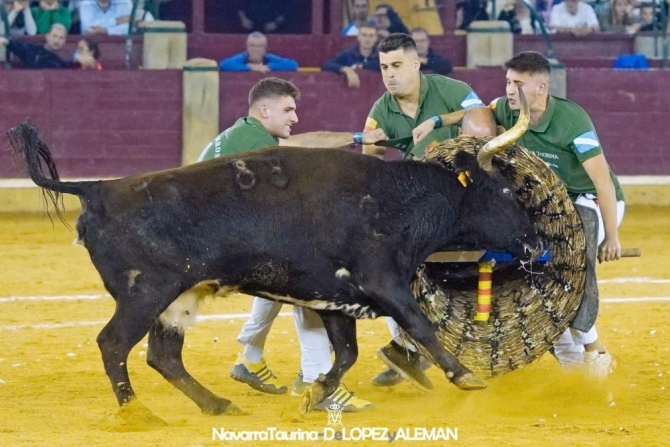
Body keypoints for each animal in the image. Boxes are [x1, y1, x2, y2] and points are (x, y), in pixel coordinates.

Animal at [7, 121, 544, 422]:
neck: (398, 200)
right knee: (114, 343)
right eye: (504, 192)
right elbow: (420, 326)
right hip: (147, 292)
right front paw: (466, 376)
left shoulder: (337, 298)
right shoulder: (381, 281)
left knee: (163, 356)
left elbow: (346, 354)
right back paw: (139, 413)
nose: (537, 244)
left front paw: (316, 396)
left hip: (177, 298)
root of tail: (97, 188)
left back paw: (217, 405)